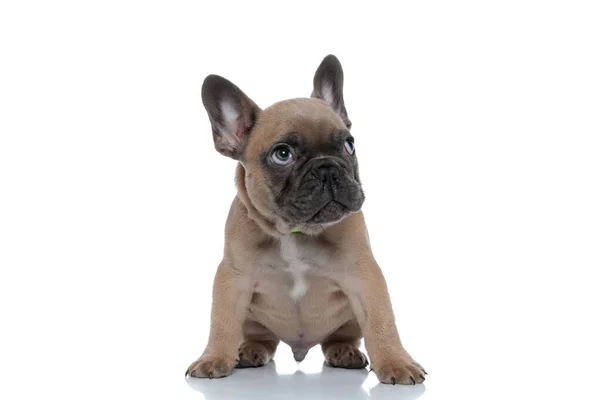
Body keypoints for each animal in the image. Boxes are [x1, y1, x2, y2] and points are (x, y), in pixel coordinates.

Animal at [185, 54, 424, 382]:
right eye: (282, 154)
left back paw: (344, 352)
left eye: (349, 145)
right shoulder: (232, 280)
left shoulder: (365, 277)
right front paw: (213, 358)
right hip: (252, 319)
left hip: (348, 320)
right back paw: (250, 350)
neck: (295, 232)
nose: (328, 168)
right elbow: (221, 321)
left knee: (341, 337)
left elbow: (382, 322)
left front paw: (397, 363)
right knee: (262, 337)